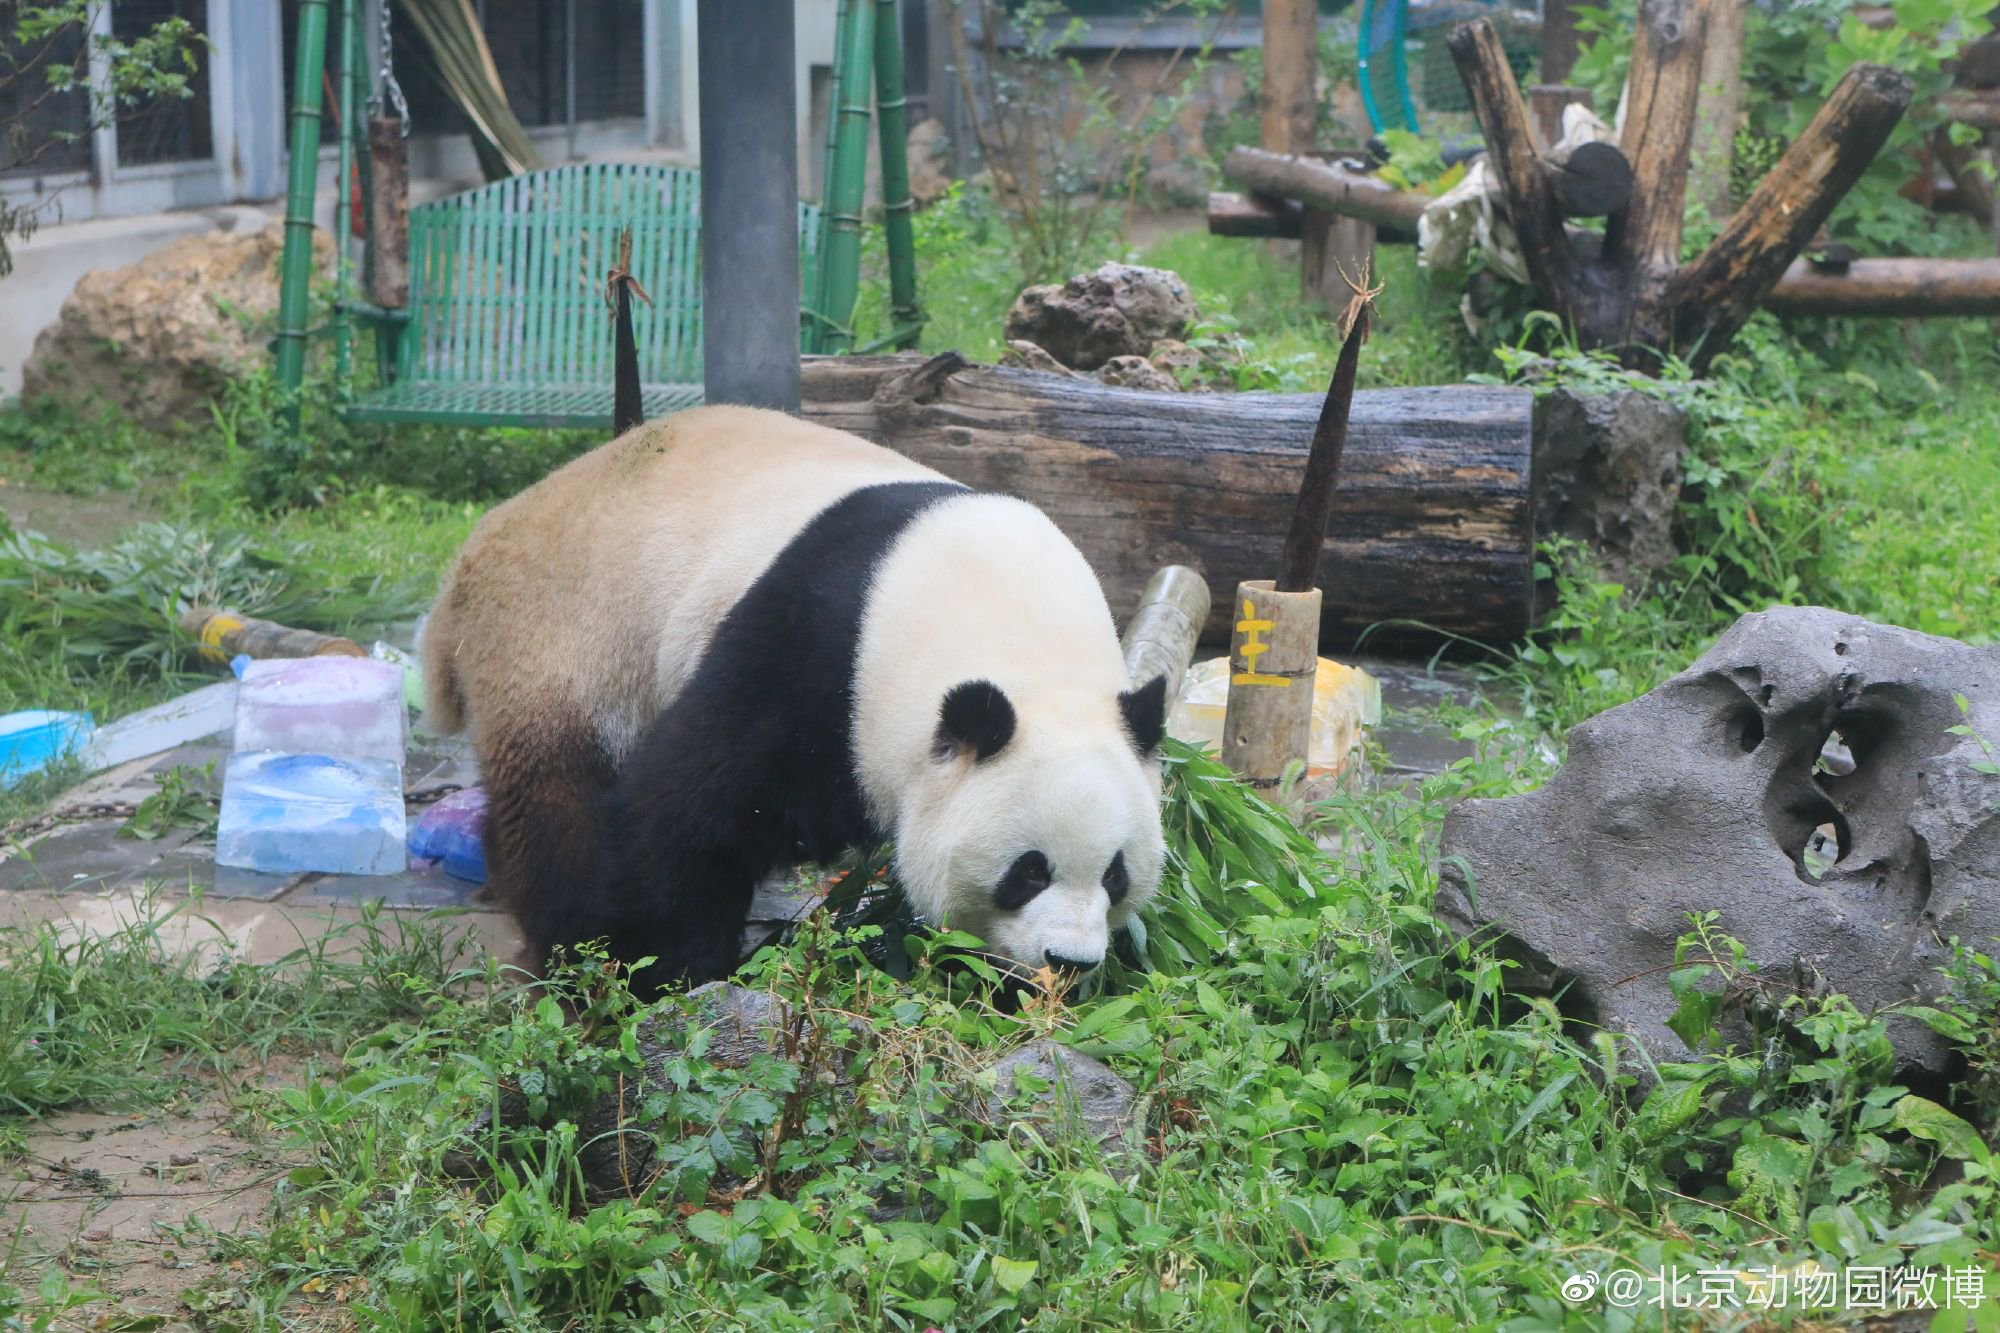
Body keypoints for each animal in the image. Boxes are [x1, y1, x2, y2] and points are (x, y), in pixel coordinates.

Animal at [424, 404, 1168, 996]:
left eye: (1116, 874)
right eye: (1029, 871)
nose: (1068, 960)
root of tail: (472, 557)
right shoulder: (816, 651)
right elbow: (686, 808)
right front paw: (667, 974)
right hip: (563, 646)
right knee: (561, 808)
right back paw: (574, 955)